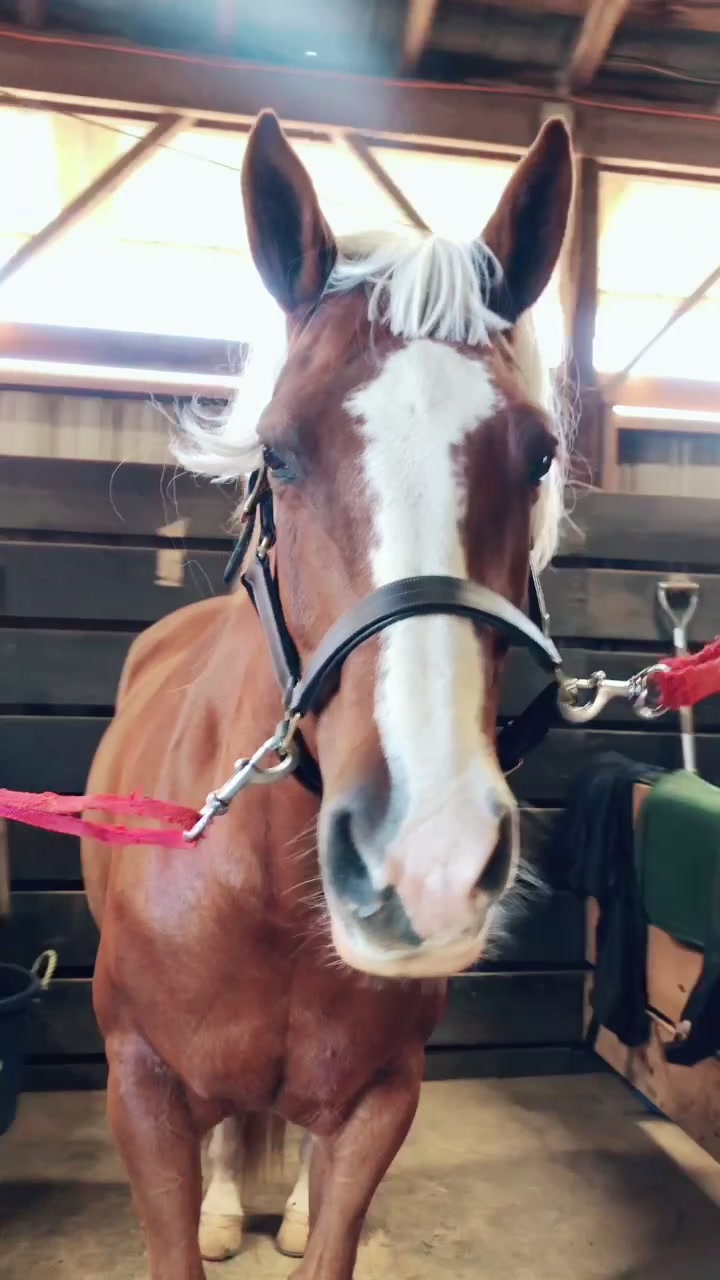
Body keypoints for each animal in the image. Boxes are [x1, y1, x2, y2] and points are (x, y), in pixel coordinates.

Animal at [81, 108, 573, 1280]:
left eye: (538, 455)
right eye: (281, 449)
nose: (425, 862)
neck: (260, 889)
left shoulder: (380, 1102)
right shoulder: (141, 1092)